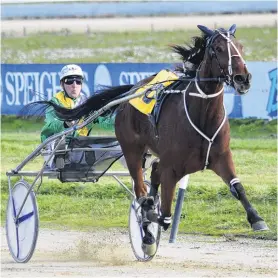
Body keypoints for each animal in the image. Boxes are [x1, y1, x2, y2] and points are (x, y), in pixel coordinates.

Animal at [27, 25, 268, 255]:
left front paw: (257, 219)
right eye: (217, 49)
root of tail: (131, 91)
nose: (243, 78)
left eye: (241, 46)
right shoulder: (172, 168)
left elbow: (237, 187)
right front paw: (150, 220)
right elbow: (164, 214)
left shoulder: (220, 157)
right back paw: (147, 230)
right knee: (142, 191)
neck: (201, 114)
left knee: (153, 174)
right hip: (132, 150)